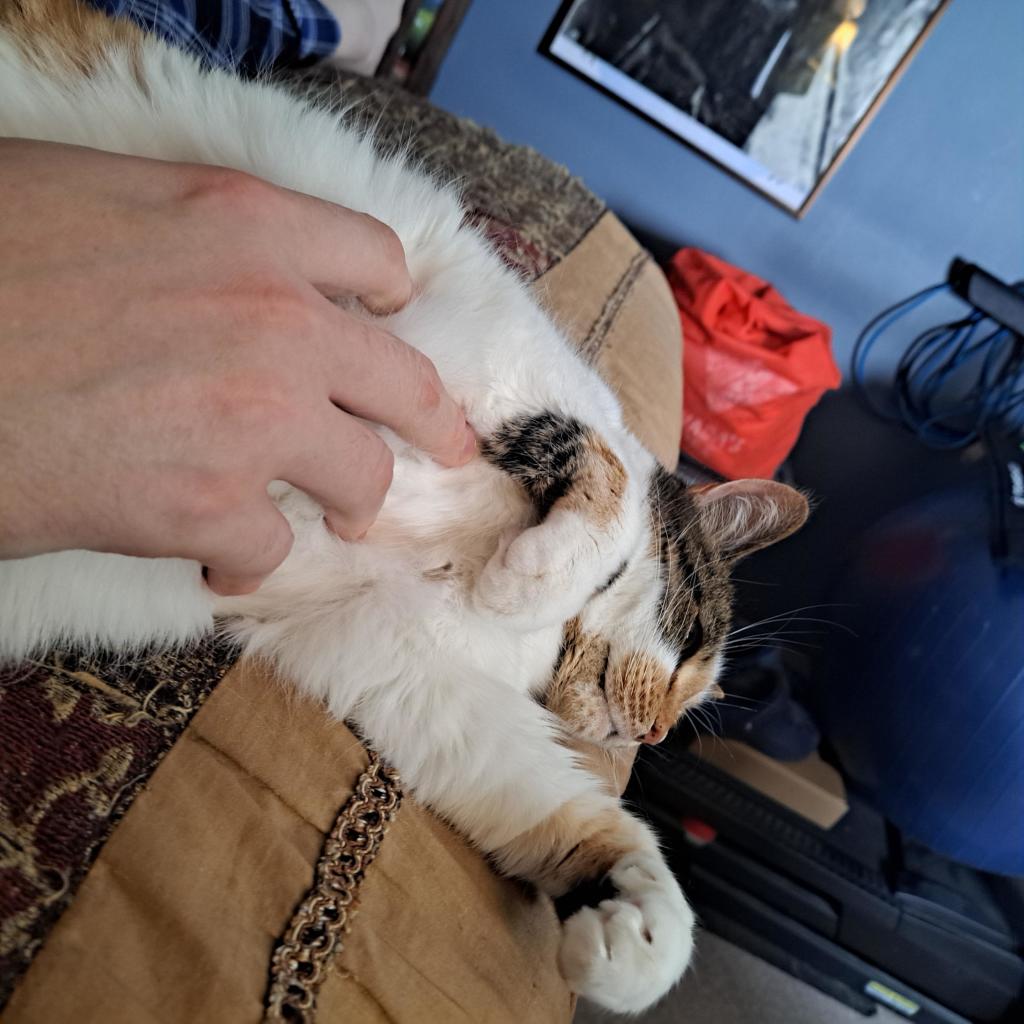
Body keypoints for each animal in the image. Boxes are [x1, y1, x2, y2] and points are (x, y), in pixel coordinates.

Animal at [0, 0, 806, 1007]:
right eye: (696, 644)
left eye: (699, 701)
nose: (656, 730)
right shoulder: (444, 340)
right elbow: (610, 476)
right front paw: (533, 573)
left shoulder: (390, 653)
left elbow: (546, 798)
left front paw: (638, 927)